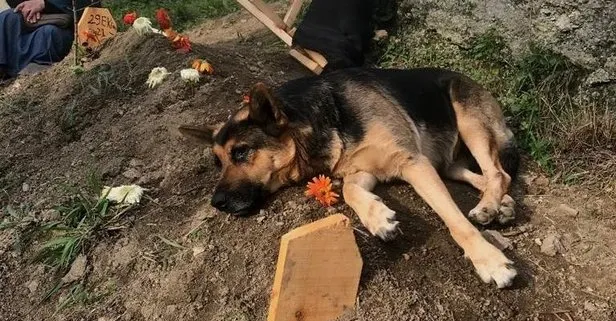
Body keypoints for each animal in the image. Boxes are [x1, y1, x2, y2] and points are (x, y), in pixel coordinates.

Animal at [179, 67, 520, 288]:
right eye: (218, 161)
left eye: (241, 152)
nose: (216, 203)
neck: (323, 117)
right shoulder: (363, 172)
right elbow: (349, 192)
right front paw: (378, 218)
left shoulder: (413, 162)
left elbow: (456, 222)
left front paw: (488, 260)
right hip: (445, 156)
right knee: (482, 175)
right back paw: (501, 204)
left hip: (468, 121)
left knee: (498, 172)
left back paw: (489, 206)